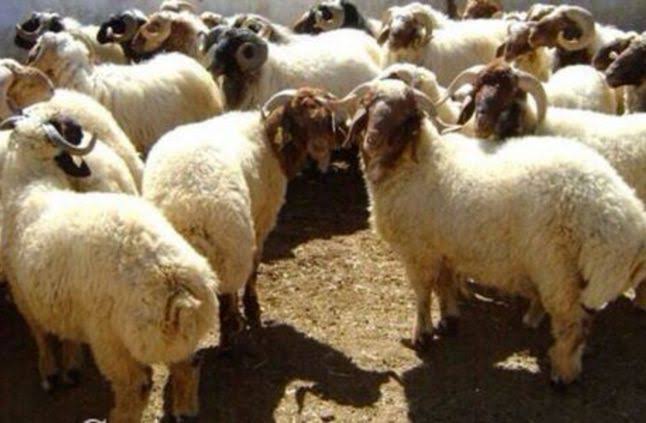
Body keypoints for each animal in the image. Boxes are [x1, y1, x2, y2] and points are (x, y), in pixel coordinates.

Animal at [1, 114, 218, 421]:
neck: (30, 186)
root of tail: (173, 282)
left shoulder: (24, 293)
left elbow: (40, 333)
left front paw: (50, 372)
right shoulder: (57, 299)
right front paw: (69, 366)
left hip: (110, 338)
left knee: (136, 384)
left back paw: (116, 415)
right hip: (177, 337)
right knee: (190, 363)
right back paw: (185, 410)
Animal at [143, 87, 344, 347]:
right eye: (303, 111)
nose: (341, 135)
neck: (270, 143)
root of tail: (188, 210)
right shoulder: (262, 219)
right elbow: (255, 266)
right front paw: (252, 308)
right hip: (232, 252)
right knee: (227, 296)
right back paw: (232, 333)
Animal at [336, 78, 646, 385]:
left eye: (405, 116)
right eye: (369, 106)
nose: (372, 140)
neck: (419, 163)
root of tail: (615, 208)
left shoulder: (418, 250)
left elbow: (423, 293)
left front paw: (421, 335)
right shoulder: (443, 246)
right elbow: (444, 286)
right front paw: (449, 319)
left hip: (556, 269)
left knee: (572, 322)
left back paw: (563, 371)